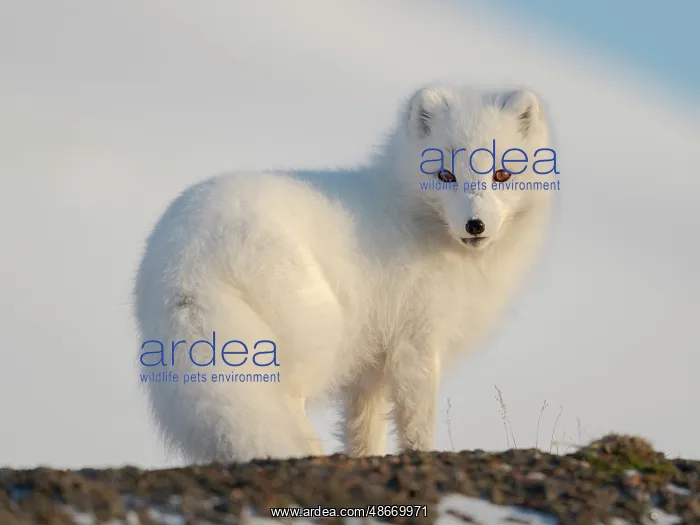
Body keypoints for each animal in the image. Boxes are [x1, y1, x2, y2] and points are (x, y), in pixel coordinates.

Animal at [133, 84, 557, 463]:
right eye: (445, 176)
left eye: (502, 175)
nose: (475, 225)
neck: (413, 217)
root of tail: (188, 257)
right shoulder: (416, 342)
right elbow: (417, 424)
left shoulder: (372, 369)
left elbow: (364, 428)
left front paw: (366, 457)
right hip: (316, 333)